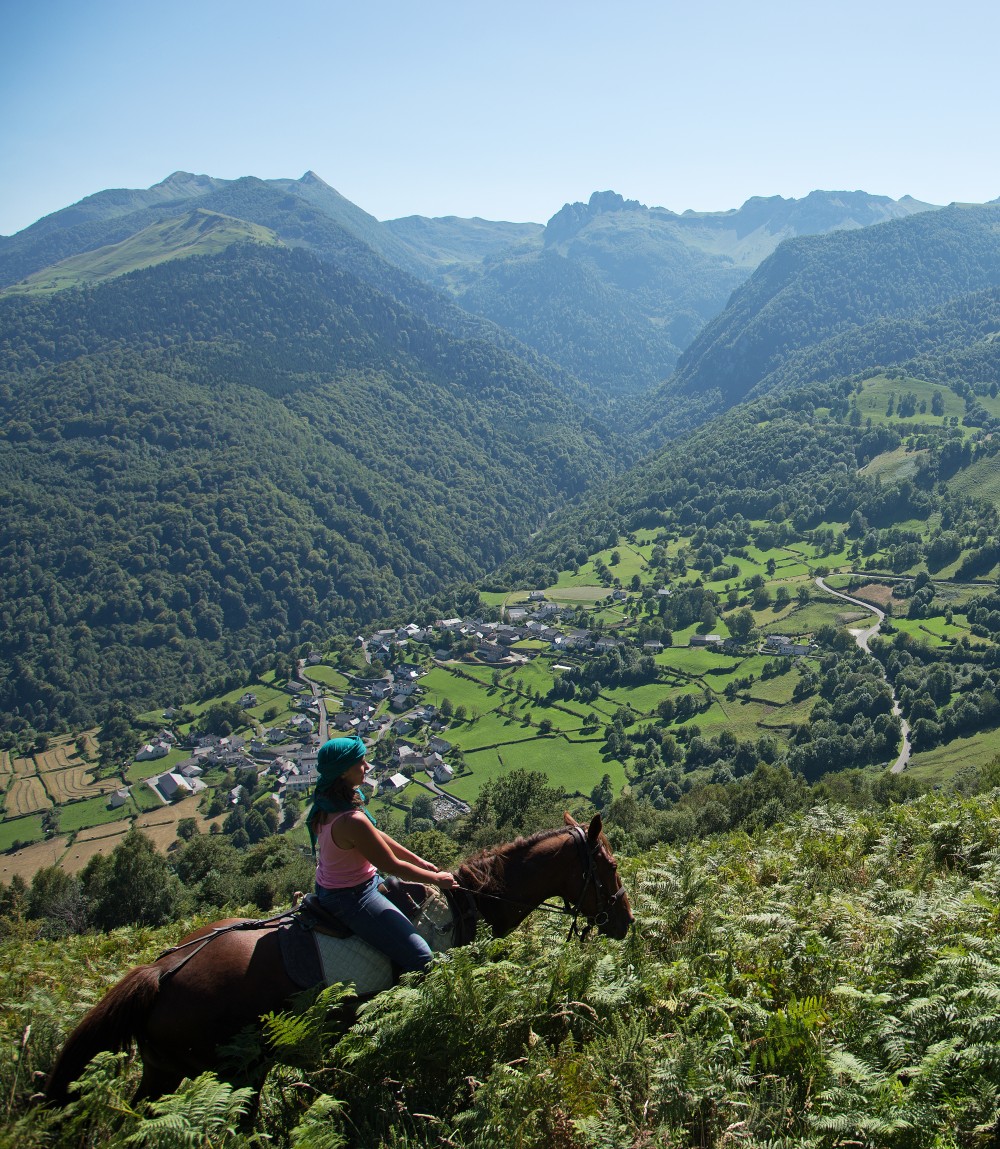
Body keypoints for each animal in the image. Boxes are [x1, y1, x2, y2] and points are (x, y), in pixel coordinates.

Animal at [47, 813, 634, 1107]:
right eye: (606, 865)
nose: (626, 920)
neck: (471, 902)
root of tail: (161, 971)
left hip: (167, 1072)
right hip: (232, 1070)